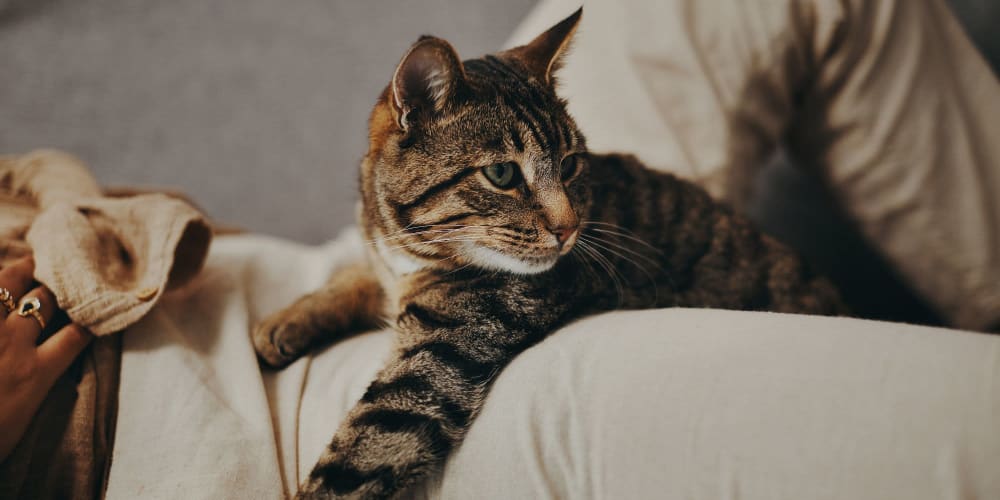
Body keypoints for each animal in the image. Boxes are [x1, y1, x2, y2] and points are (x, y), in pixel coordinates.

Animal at [252, 8, 844, 500]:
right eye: (501, 173)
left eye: (571, 164)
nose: (569, 228)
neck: (411, 249)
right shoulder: (387, 266)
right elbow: (356, 275)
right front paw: (284, 321)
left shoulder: (438, 361)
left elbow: (359, 454)